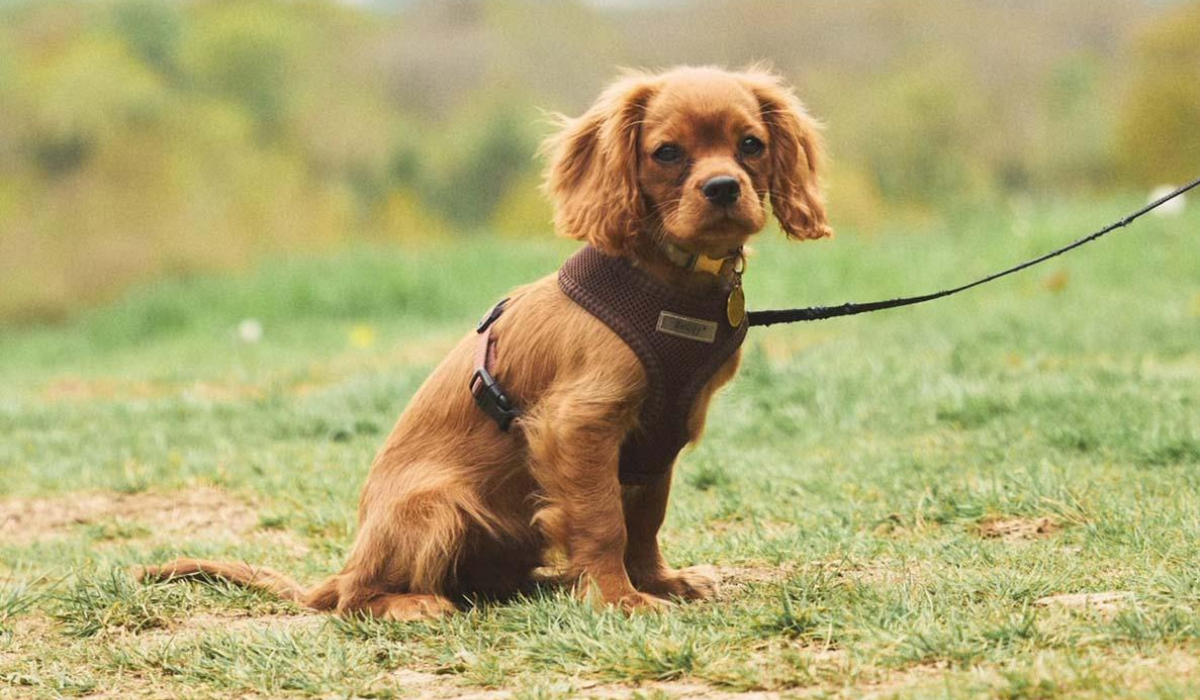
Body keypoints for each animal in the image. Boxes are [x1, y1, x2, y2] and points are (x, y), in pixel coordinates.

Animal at [140, 65, 830, 619]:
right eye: (666, 153)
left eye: (751, 145)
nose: (723, 188)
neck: (669, 284)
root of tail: (341, 567)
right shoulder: (577, 426)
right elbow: (603, 519)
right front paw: (619, 598)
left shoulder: (659, 440)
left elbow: (644, 519)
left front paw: (658, 581)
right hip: (435, 507)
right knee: (354, 599)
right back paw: (414, 604)